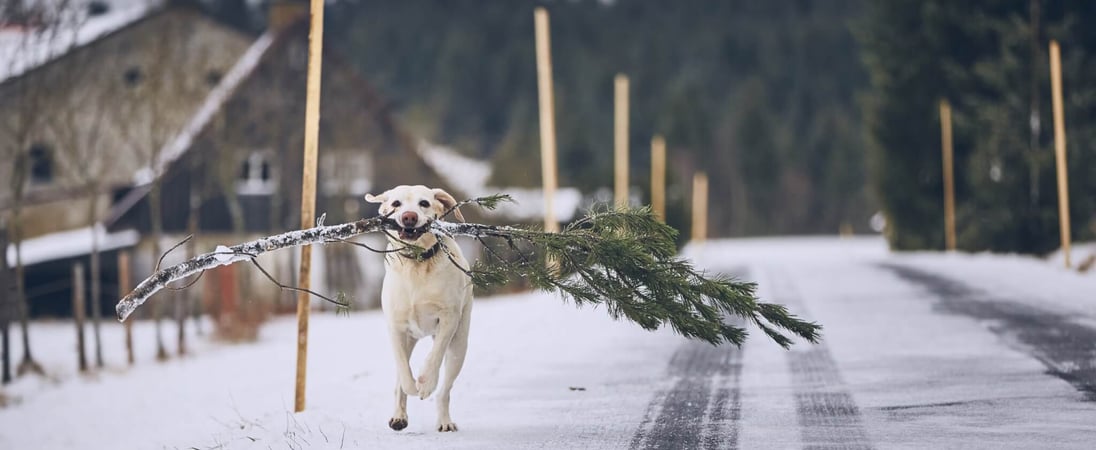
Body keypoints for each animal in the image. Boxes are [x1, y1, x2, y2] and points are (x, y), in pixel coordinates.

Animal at [366, 185, 473, 431]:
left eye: (424, 203)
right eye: (396, 204)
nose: (409, 217)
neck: (417, 263)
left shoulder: (449, 319)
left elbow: (434, 356)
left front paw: (425, 384)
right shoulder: (395, 327)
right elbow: (403, 370)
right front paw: (412, 387)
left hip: (459, 346)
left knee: (445, 390)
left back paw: (444, 420)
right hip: (410, 339)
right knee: (400, 376)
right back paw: (399, 416)